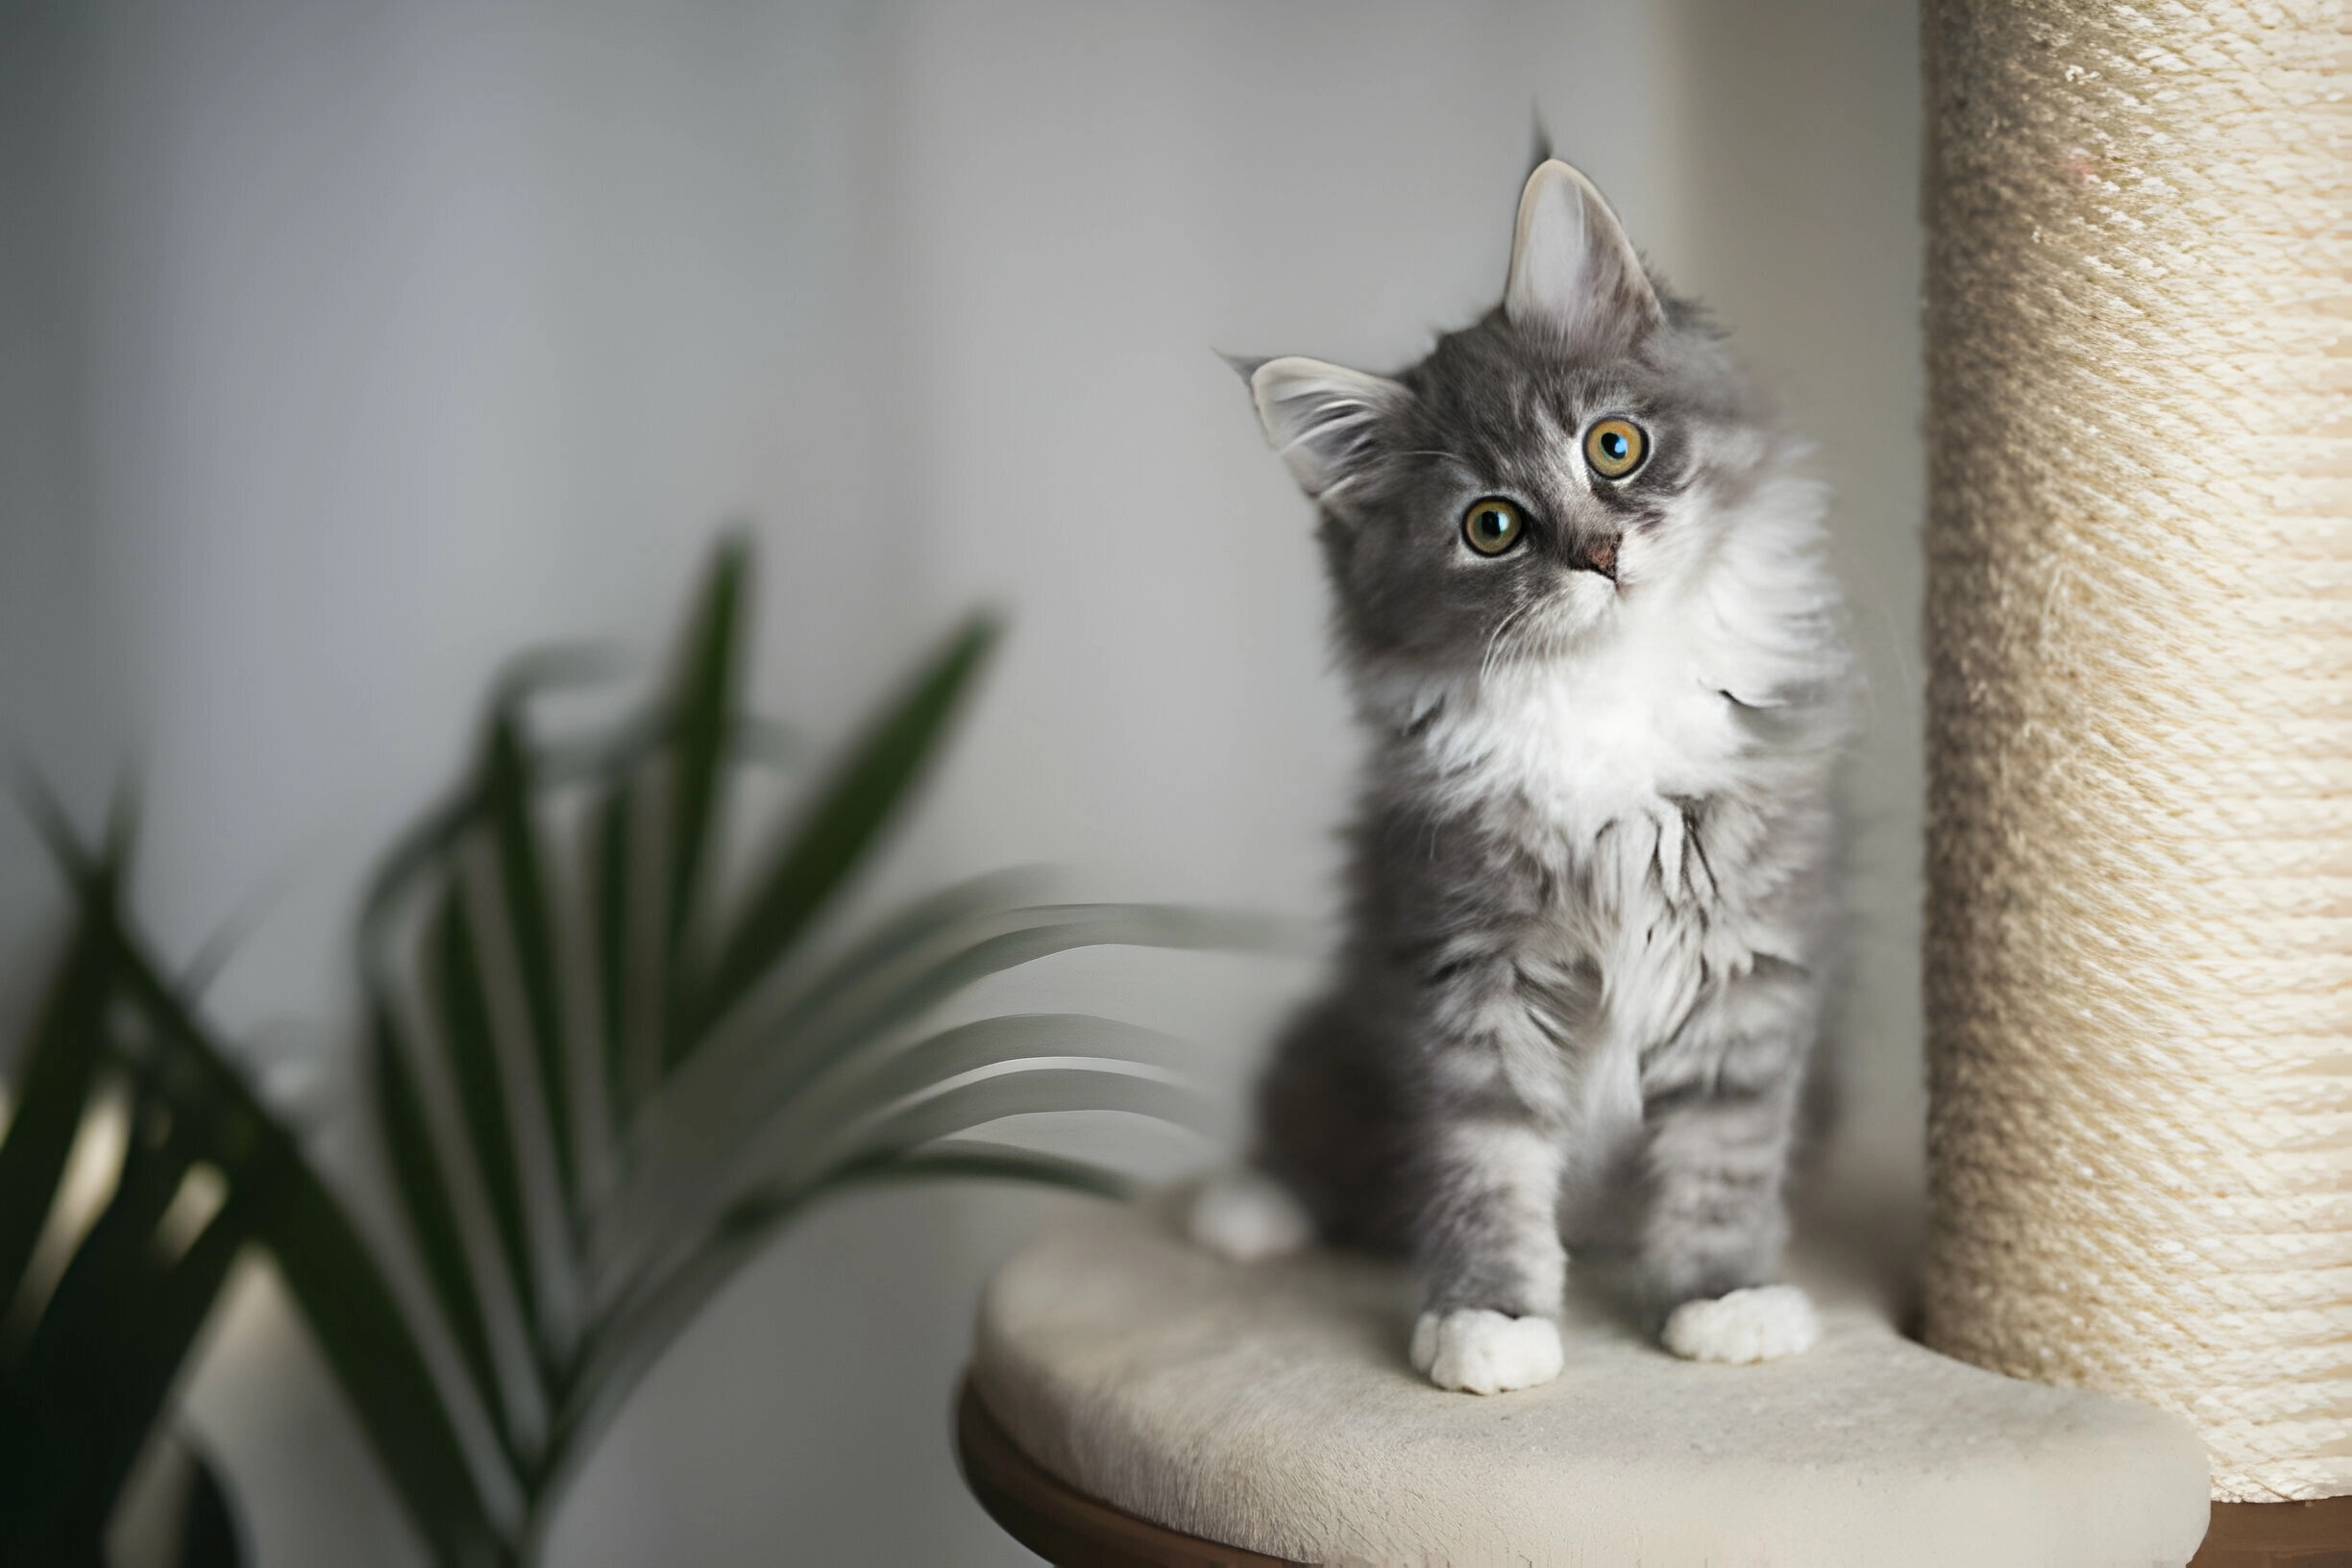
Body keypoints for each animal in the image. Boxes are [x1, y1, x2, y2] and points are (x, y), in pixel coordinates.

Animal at [1204, 153, 1844, 1391]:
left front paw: (1723, 1297)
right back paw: (1246, 1208)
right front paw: (1487, 1321)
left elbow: (1724, 1149)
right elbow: (1483, 1160)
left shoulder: (1745, 954)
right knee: (1308, 1138)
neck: (1604, 697)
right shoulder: (1468, 962)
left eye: (1614, 446)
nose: (1600, 554)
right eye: (1492, 527)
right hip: (1335, 1040)